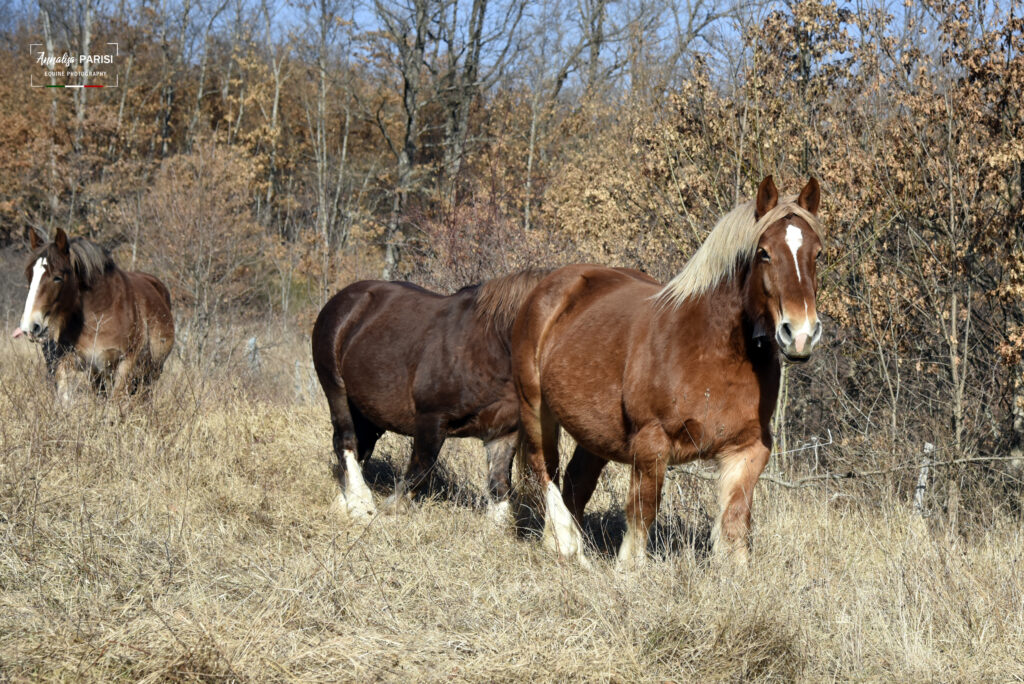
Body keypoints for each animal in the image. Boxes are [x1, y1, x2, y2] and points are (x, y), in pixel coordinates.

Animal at [12, 228, 174, 401]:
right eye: (29, 276)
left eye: (57, 278)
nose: (30, 326)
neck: (101, 315)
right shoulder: (79, 364)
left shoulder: (126, 365)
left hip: (151, 373)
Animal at [309, 270, 552, 520]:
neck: (491, 346)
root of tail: (342, 301)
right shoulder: (431, 418)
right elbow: (421, 469)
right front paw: (388, 512)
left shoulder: (503, 432)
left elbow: (499, 486)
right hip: (336, 390)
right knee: (346, 440)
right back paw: (360, 504)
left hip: (368, 411)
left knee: (361, 445)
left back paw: (346, 502)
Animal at [512, 176, 823, 565]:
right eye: (764, 252)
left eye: (818, 253)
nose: (801, 334)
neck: (713, 351)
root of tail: (551, 285)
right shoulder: (651, 444)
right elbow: (642, 512)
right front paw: (628, 570)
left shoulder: (747, 449)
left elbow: (734, 522)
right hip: (536, 408)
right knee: (545, 470)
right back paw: (567, 545)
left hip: (594, 431)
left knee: (576, 482)